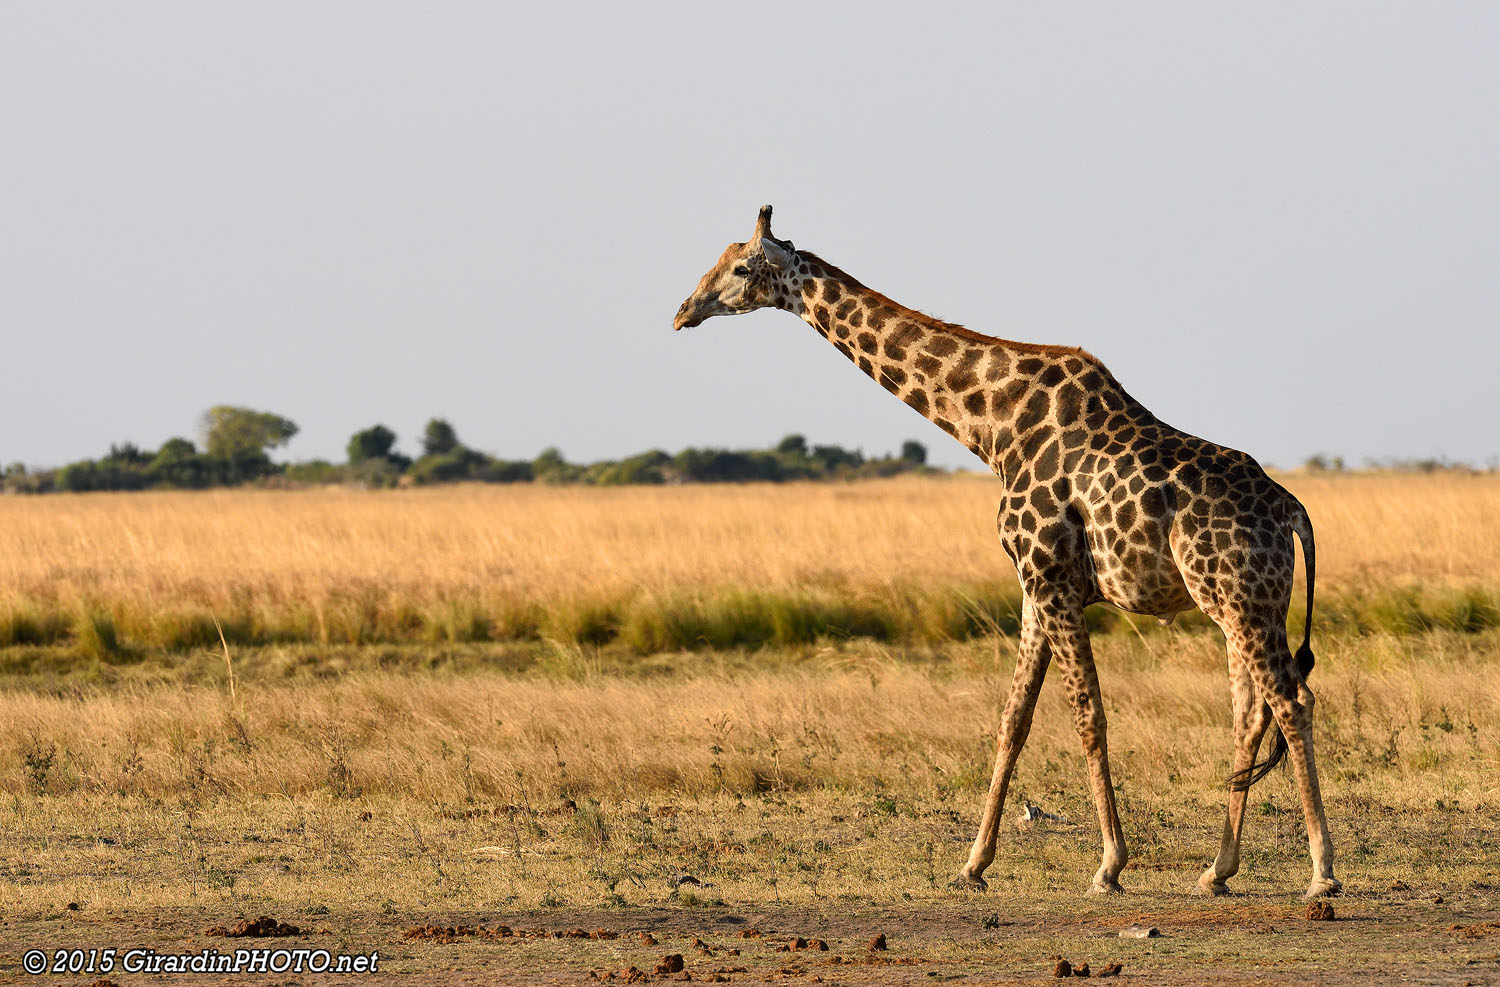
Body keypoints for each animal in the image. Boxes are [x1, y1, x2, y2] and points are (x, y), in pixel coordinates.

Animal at [673, 206, 1342, 900]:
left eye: (741, 268)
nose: (684, 310)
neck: (994, 429)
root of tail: (1292, 510)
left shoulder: (1050, 578)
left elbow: (1087, 714)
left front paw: (1109, 865)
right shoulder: (1033, 586)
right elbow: (1013, 718)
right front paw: (975, 862)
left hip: (1242, 600)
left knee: (1292, 702)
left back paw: (1322, 872)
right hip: (1241, 606)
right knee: (1251, 712)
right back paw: (1217, 870)